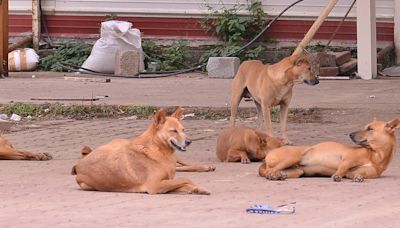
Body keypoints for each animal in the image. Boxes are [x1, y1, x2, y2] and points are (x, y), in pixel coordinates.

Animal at [70, 107, 211, 194]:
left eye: (183, 130)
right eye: (173, 131)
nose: (189, 142)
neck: (156, 149)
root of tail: (79, 163)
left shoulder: (165, 182)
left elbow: (183, 181)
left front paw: (198, 189)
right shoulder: (155, 185)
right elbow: (186, 180)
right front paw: (195, 187)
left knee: (182, 164)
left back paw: (206, 166)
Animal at [258, 118, 398, 183]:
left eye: (370, 129)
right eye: (366, 127)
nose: (350, 134)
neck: (375, 155)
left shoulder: (353, 173)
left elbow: (358, 174)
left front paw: (359, 177)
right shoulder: (347, 159)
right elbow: (342, 168)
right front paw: (337, 175)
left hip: (298, 171)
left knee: (280, 172)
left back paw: (280, 175)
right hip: (293, 157)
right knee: (269, 171)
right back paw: (274, 175)